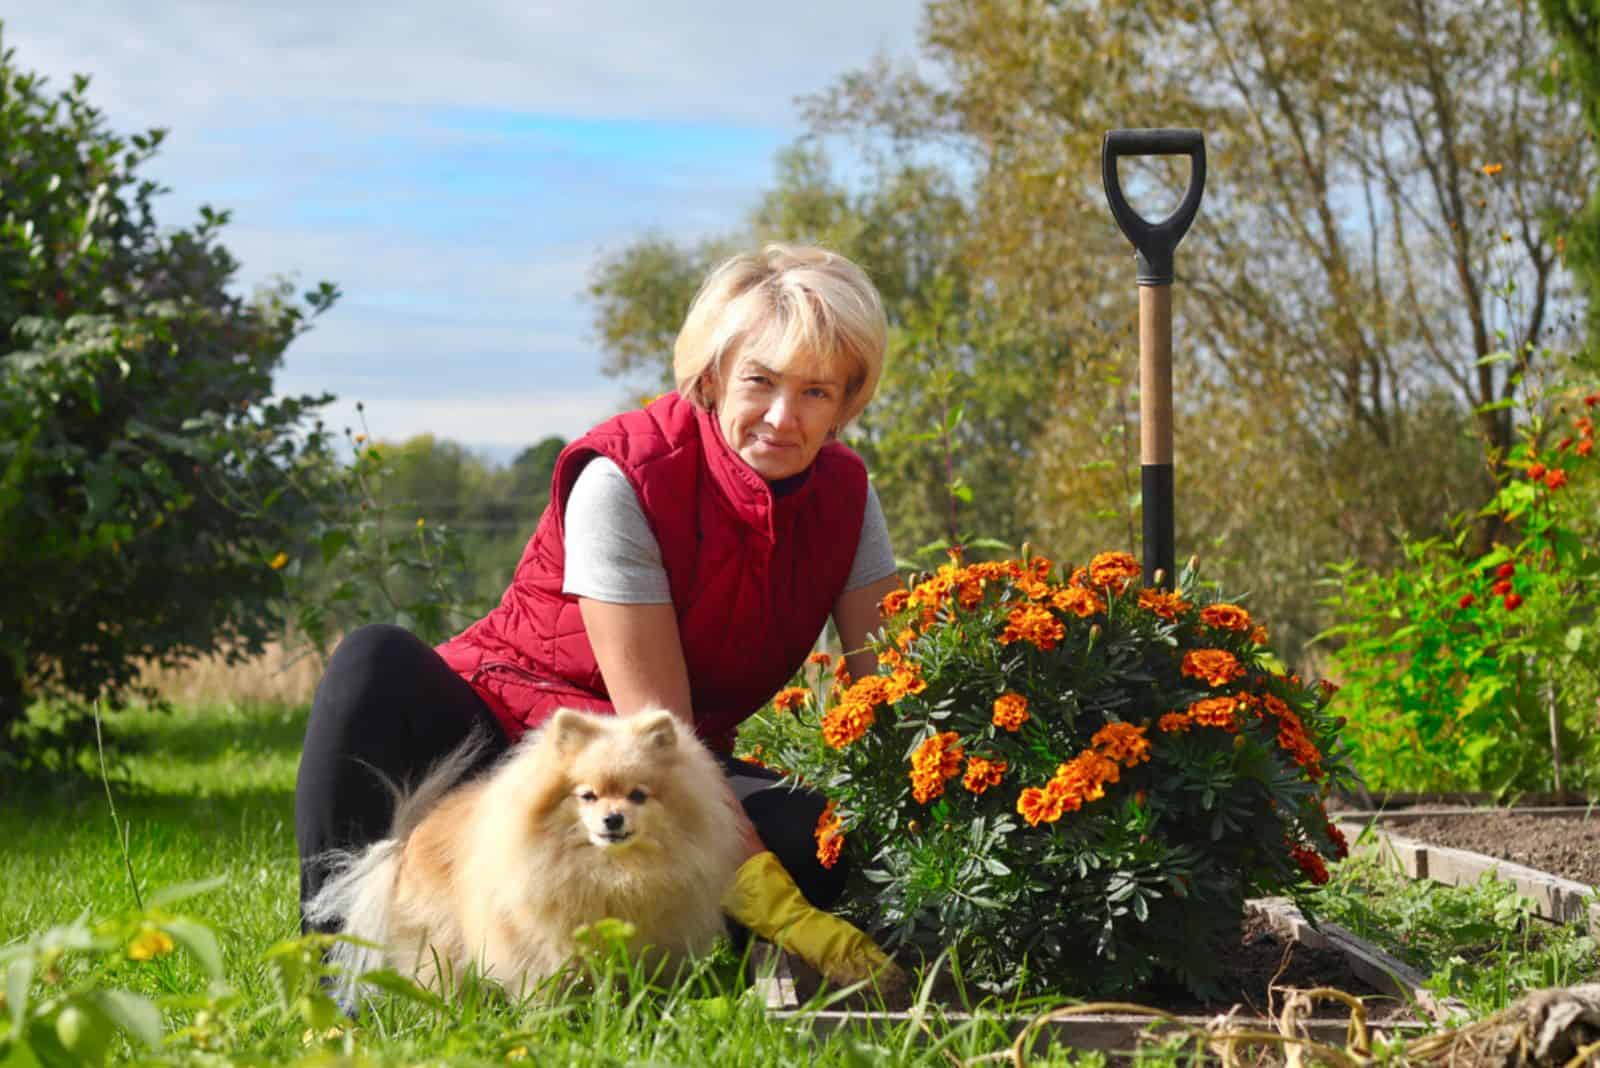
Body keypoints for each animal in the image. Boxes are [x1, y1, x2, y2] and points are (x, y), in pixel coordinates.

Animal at [305, 709, 748, 1004]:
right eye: (587, 795)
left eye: (638, 795)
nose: (613, 818)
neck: (612, 871)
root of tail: (408, 839)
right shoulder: (533, 941)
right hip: (439, 940)